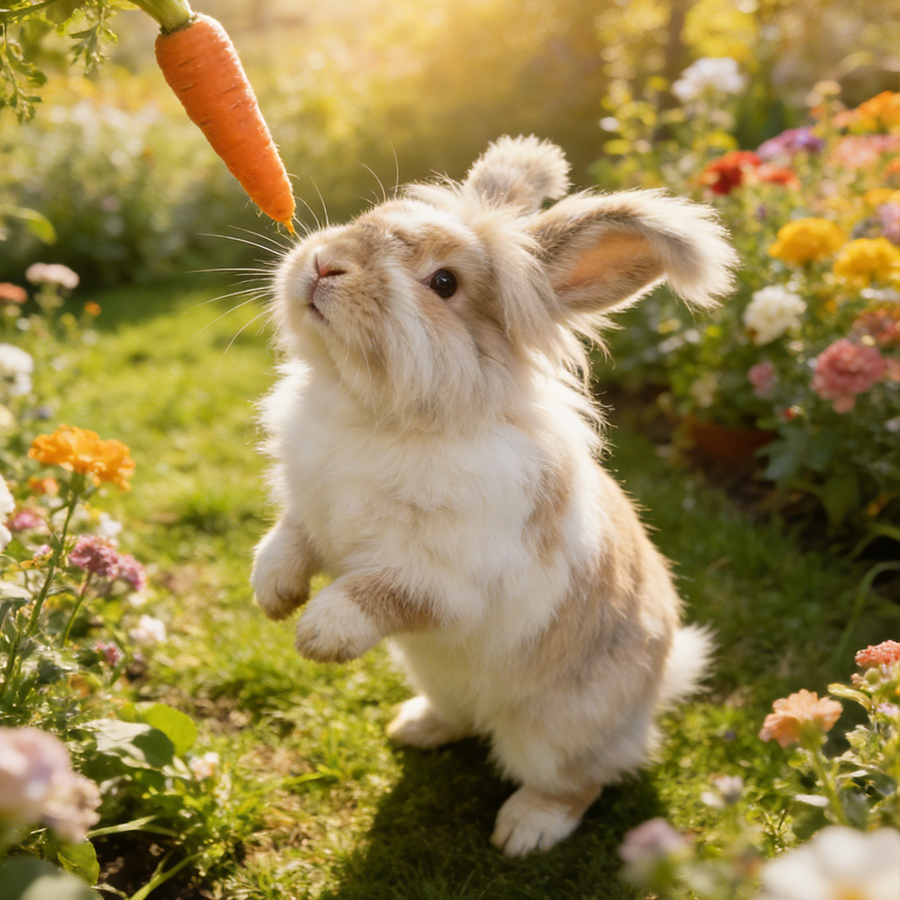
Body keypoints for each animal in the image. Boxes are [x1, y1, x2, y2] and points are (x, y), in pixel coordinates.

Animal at [251, 135, 737, 857]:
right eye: (372, 217)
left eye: (444, 284)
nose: (325, 262)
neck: (376, 415)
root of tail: (645, 707)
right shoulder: (311, 512)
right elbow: (287, 541)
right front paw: (273, 596)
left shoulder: (450, 574)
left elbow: (376, 592)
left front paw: (318, 633)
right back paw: (415, 727)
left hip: (553, 733)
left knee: (579, 782)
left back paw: (524, 831)